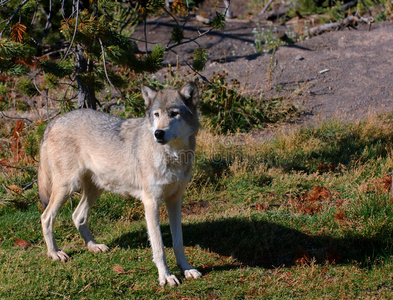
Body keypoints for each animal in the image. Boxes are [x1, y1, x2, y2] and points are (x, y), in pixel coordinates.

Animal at [36, 81, 201, 286]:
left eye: (174, 114)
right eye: (156, 114)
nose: (158, 133)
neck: (173, 156)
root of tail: (53, 122)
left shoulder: (175, 201)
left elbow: (178, 243)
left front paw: (186, 269)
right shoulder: (151, 203)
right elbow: (159, 248)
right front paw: (166, 277)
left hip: (94, 190)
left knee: (77, 216)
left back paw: (93, 246)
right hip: (66, 188)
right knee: (46, 217)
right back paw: (54, 253)